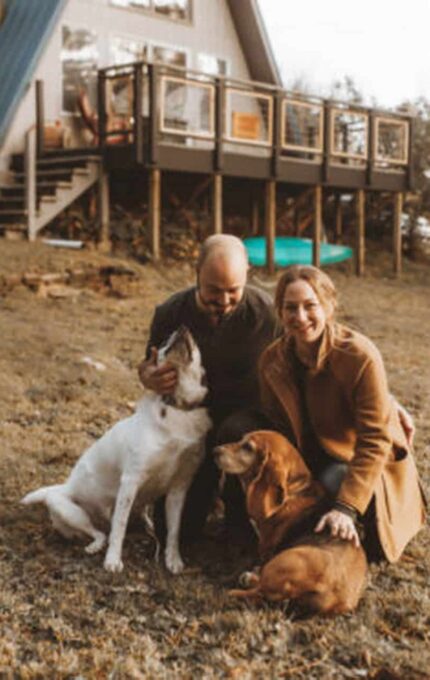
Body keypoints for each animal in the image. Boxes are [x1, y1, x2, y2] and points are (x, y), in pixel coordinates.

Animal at [20, 326, 212, 572]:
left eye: (195, 344)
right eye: (164, 343)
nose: (181, 328)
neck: (175, 405)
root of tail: (64, 486)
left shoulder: (180, 487)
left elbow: (174, 529)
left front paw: (173, 559)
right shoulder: (131, 480)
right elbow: (119, 527)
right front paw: (113, 561)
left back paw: (148, 525)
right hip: (67, 509)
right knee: (101, 533)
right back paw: (96, 545)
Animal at [214, 430, 366, 616]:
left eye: (248, 447)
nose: (214, 450)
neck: (294, 490)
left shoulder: (266, 546)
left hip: (281, 562)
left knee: (259, 591)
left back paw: (239, 586)